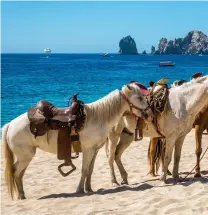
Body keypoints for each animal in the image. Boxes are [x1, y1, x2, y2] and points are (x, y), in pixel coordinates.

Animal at [2, 82, 153, 200]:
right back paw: (21, 195)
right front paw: (80, 190)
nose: (150, 114)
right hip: (25, 156)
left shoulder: (95, 150)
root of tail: (10, 124)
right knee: (16, 172)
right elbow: (84, 170)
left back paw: (22, 194)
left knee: (19, 174)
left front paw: (89, 188)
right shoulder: (88, 149)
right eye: (139, 97)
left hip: (25, 157)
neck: (97, 118)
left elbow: (90, 170)